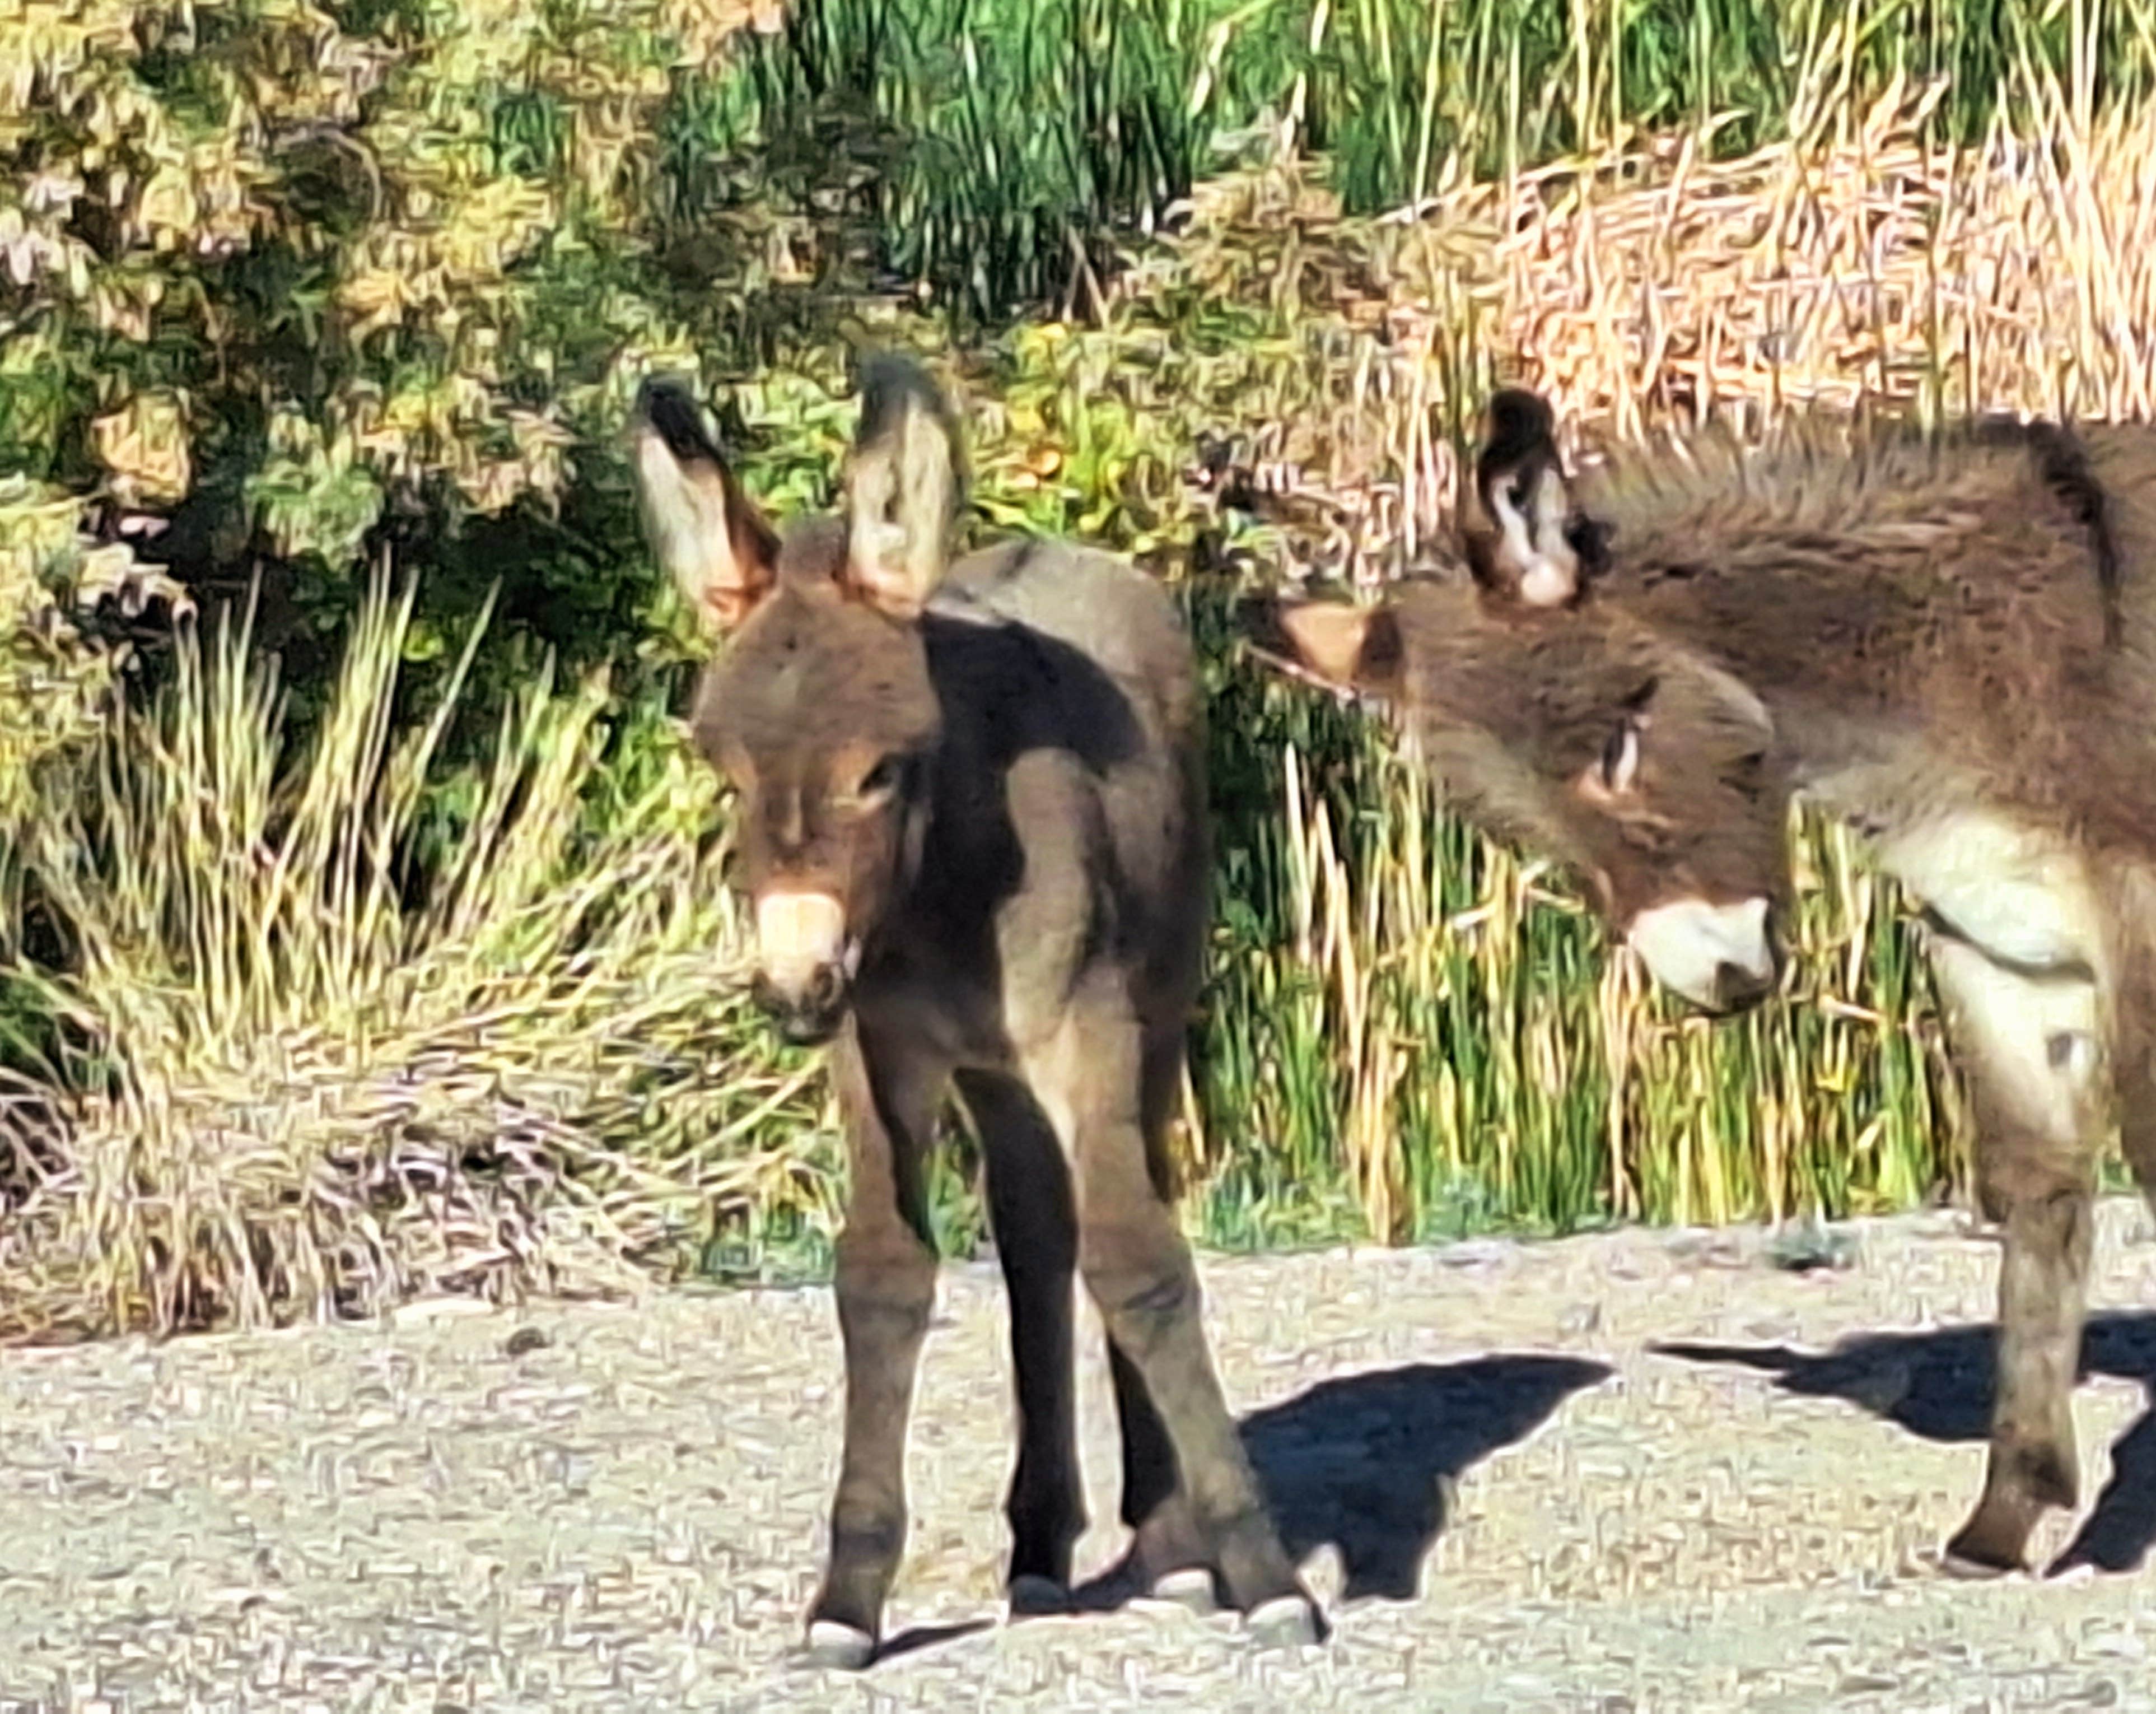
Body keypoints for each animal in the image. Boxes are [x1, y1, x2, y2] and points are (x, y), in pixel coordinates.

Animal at [629, 357, 1310, 1664]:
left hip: (1153, 1004)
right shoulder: (878, 1048)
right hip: (997, 1077)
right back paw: (1043, 1546)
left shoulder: (1088, 1031)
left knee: (1122, 1206)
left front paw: (1264, 1573)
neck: (946, 889)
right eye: (724, 774)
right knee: (1040, 1237)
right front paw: (847, 1600)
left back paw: (1169, 1543)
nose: (791, 987)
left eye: (881, 770)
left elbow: (1141, 1262)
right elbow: (883, 1274)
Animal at [1259, 388, 2156, 1578]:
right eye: (1523, 829)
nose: (1718, 976)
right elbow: (2039, 1203)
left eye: (1619, 744)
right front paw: (2007, 1519)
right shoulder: (2004, 957)